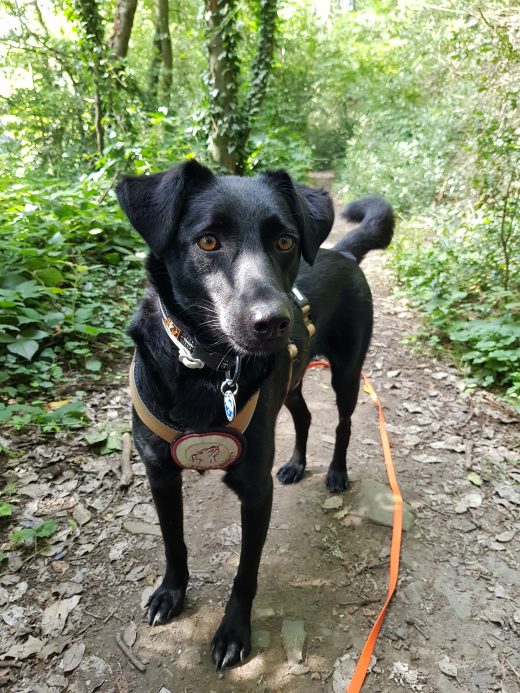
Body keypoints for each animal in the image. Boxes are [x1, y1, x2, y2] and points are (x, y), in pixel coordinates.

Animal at [116, 159, 392, 668]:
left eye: (285, 241)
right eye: (207, 241)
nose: (274, 322)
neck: (205, 368)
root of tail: (342, 251)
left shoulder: (255, 491)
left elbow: (245, 572)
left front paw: (232, 632)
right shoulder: (160, 474)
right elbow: (173, 542)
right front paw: (171, 593)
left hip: (346, 374)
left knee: (342, 423)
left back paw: (336, 473)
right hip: (291, 382)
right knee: (304, 417)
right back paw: (296, 465)